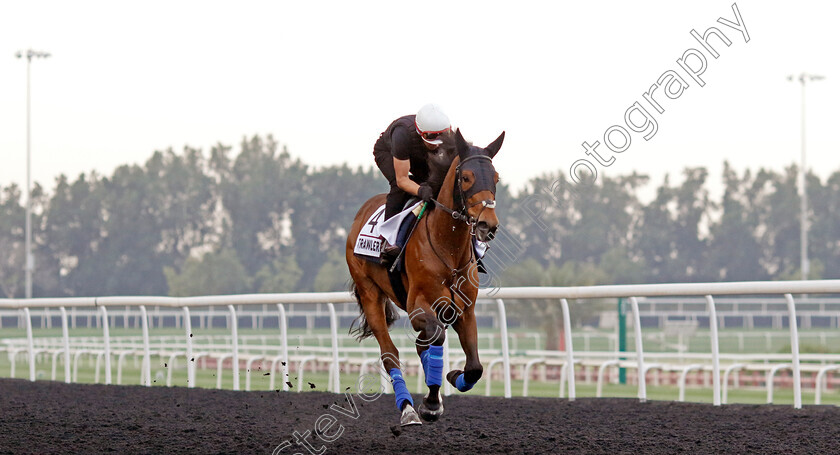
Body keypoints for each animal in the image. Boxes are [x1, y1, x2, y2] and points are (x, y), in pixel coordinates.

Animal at [342, 129, 502, 428]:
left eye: (496, 177)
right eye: (466, 177)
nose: (488, 224)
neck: (448, 247)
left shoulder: (464, 310)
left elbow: (474, 367)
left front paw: (452, 378)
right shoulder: (418, 305)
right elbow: (435, 336)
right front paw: (429, 404)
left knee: (422, 344)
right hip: (370, 293)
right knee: (390, 354)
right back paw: (407, 408)